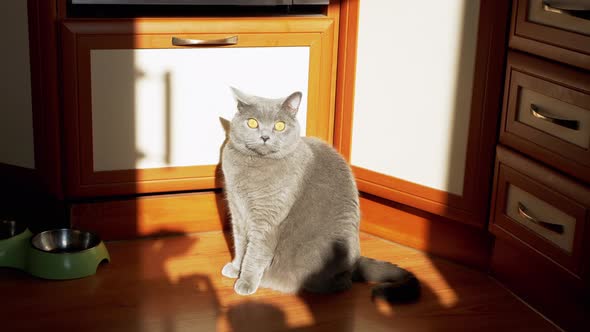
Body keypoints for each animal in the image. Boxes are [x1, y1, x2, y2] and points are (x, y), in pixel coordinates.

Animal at [222, 87, 420, 300]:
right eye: (252, 122)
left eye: (280, 126)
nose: (265, 137)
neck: (252, 165)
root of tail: (355, 263)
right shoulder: (237, 211)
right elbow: (241, 244)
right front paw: (236, 268)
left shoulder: (266, 219)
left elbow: (255, 252)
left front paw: (245, 282)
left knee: (343, 284)